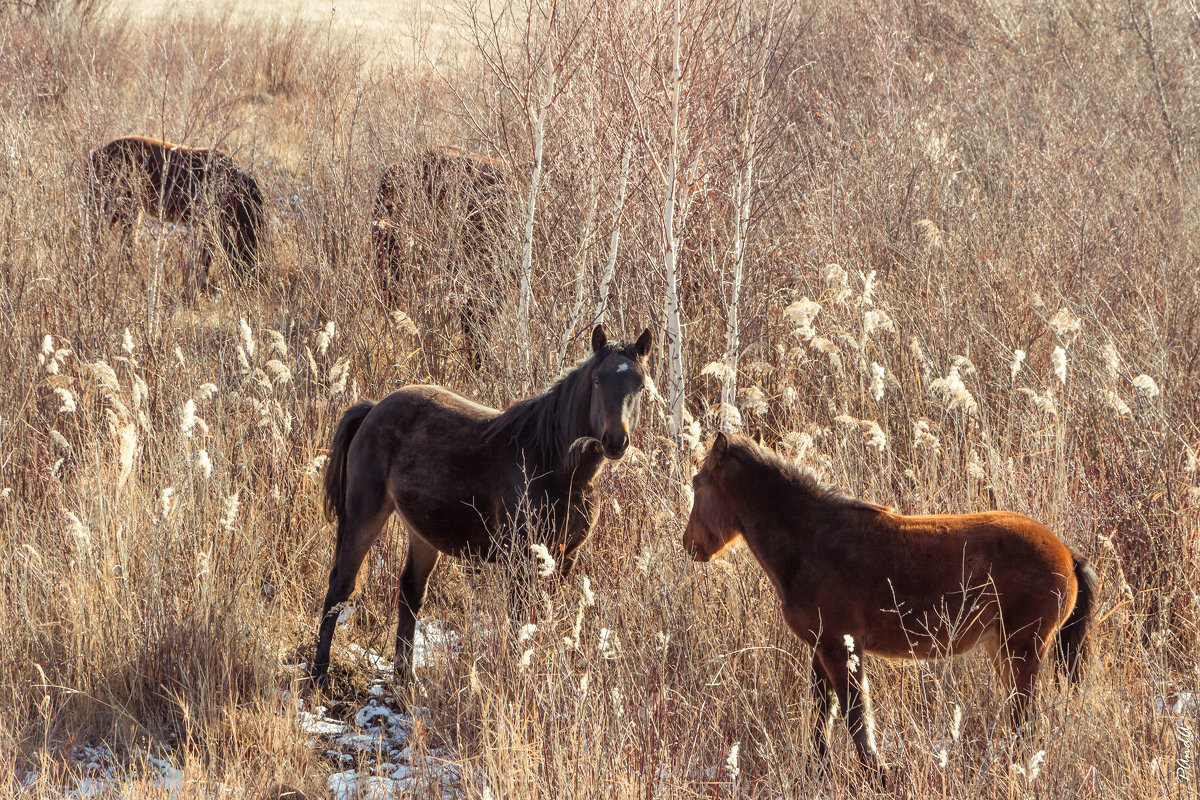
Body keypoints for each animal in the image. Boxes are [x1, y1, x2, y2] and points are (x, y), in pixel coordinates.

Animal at [309, 321, 648, 686]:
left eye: (641, 385)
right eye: (598, 380)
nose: (616, 441)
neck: (554, 463)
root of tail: (373, 409)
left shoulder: (565, 558)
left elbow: (544, 619)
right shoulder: (521, 558)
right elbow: (519, 621)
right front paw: (516, 678)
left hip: (423, 533)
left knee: (411, 591)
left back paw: (405, 678)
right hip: (364, 513)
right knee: (340, 586)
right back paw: (319, 675)